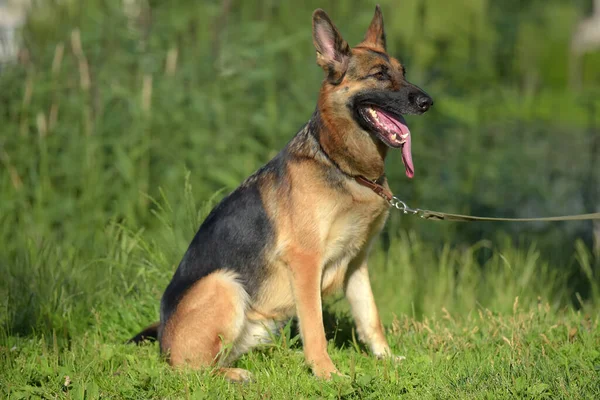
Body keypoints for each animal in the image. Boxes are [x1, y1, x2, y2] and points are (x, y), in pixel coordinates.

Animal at [130, 5, 432, 382]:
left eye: (402, 72)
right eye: (379, 74)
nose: (428, 102)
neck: (342, 166)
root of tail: (163, 342)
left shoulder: (357, 263)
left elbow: (370, 318)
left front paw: (387, 359)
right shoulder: (306, 262)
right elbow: (315, 328)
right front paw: (326, 374)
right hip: (225, 284)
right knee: (192, 370)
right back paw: (234, 375)